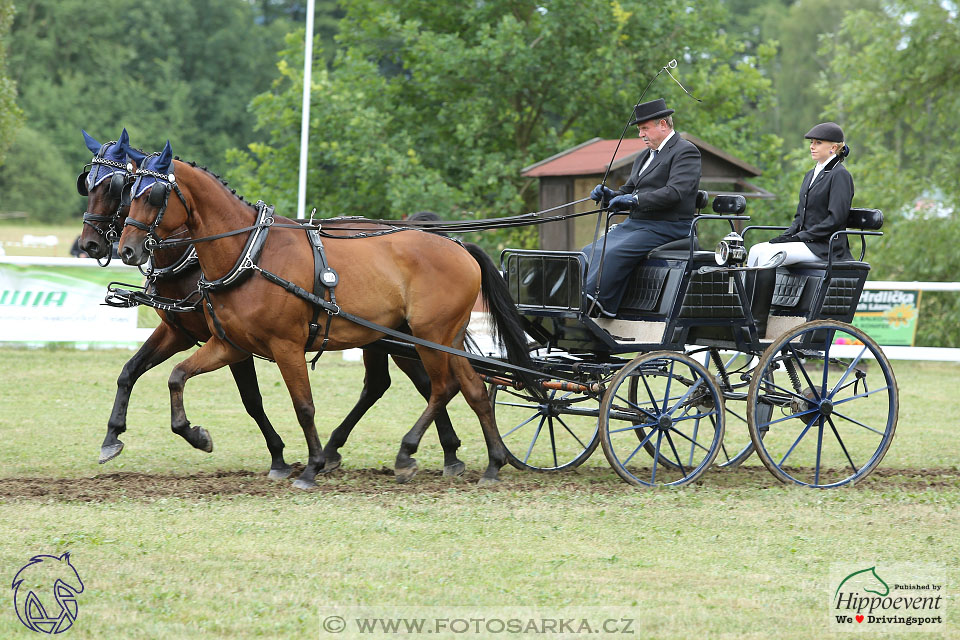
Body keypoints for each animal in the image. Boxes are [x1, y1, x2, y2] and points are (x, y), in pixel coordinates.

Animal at [77, 131, 466, 480]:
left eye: (118, 187)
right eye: (89, 184)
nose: (96, 245)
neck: (246, 252)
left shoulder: (257, 345)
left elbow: (259, 400)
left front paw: (280, 459)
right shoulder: (186, 332)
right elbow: (134, 371)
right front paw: (114, 437)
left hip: (413, 336)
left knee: (431, 384)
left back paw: (433, 452)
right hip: (387, 335)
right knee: (395, 384)